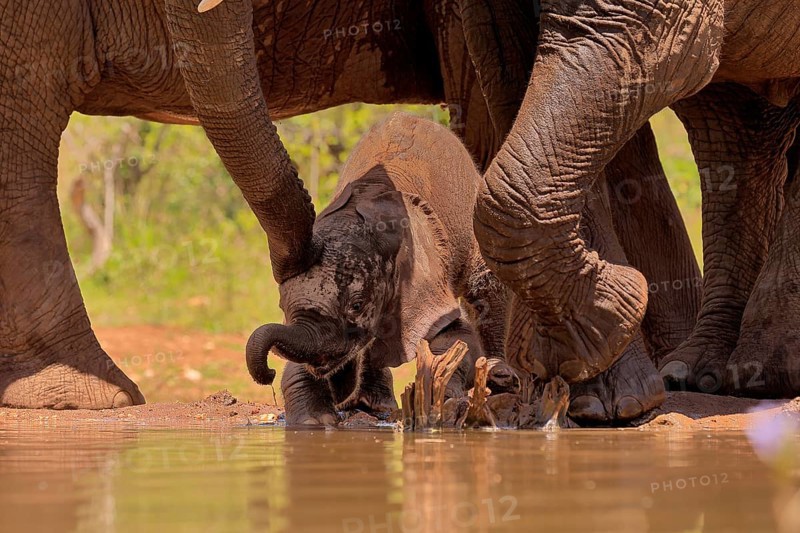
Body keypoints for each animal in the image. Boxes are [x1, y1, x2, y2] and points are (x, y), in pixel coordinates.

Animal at [245, 113, 516, 425]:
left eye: (357, 305)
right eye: (282, 306)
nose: (267, 373)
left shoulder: (427, 279)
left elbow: (458, 337)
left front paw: (438, 398)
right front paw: (316, 423)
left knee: (485, 287)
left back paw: (499, 373)